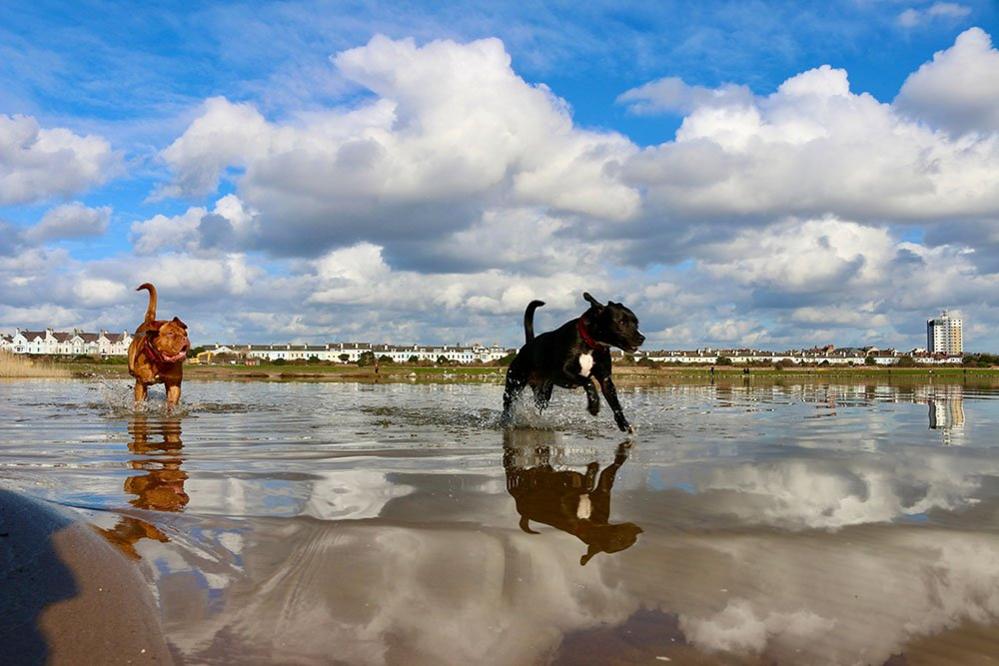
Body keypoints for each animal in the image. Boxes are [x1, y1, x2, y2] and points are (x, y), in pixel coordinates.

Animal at [504, 290, 644, 430]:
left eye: (636, 323)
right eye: (621, 322)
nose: (642, 338)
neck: (590, 344)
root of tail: (528, 345)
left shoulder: (605, 379)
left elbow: (615, 403)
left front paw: (623, 423)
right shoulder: (562, 372)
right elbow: (588, 381)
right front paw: (594, 406)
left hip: (543, 393)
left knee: (539, 405)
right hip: (514, 385)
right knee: (507, 406)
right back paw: (506, 421)